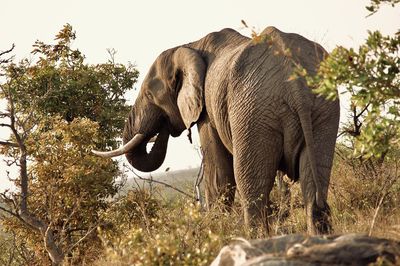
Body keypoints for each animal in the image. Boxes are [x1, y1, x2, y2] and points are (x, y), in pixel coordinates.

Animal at [92, 26, 340, 235]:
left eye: (150, 95)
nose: (162, 128)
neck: (189, 46)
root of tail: (296, 83)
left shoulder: (207, 113)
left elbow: (219, 175)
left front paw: (215, 231)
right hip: (323, 108)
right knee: (315, 180)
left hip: (253, 110)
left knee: (251, 183)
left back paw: (254, 238)